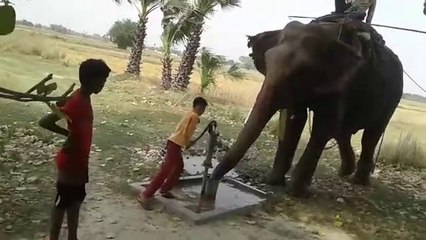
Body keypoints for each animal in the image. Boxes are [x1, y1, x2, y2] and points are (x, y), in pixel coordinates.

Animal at [210, 17, 402, 197]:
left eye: (303, 72)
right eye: (267, 62)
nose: (212, 178)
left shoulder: (344, 86)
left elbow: (324, 126)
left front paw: (298, 193)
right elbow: (294, 120)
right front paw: (273, 182)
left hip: (392, 99)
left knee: (370, 136)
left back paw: (358, 181)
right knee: (343, 132)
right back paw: (345, 172)